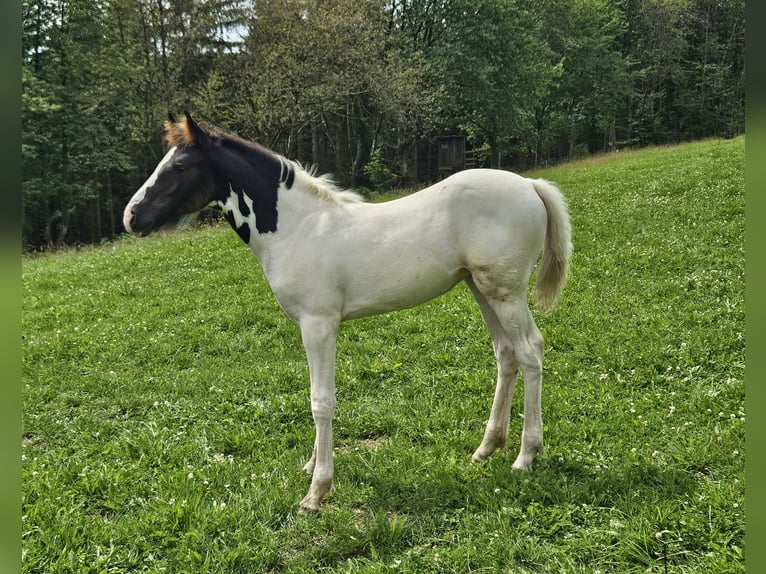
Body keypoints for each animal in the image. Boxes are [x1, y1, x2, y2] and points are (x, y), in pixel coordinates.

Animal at [124, 112, 568, 512]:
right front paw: (310, 467)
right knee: (506, 355)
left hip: (506, 292)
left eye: (179, 166)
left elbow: (321, 400)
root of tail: (530, 184)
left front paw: (316, 491)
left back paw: (526, 455)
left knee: (531, 350)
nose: (131, 217)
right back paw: (486, 448)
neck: (297, 228)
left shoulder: (318, 324)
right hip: (481, 288)